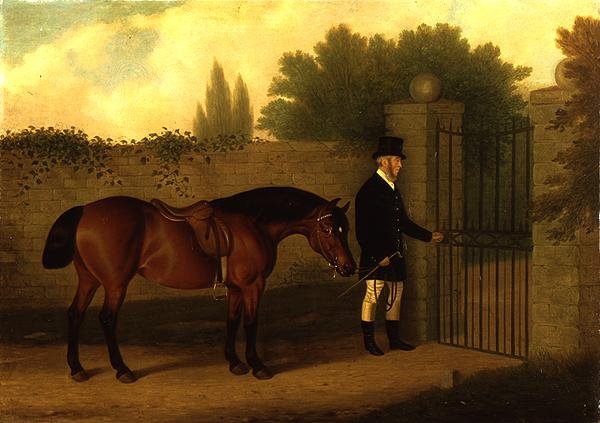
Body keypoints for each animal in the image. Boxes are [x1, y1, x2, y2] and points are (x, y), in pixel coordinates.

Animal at [42, 187, 356, 382]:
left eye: (345, 228)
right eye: (328, 229)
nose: (349, 267)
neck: (252, 225)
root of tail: (86, 210)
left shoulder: (235, 288)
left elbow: (232, 320)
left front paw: (235, 362)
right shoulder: (253, 286)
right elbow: (251, 322)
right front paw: (258, 365)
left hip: (89, 280)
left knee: (75, 314)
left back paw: (77, 369)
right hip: (115, 284)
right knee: (107, 319)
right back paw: (122, 370)